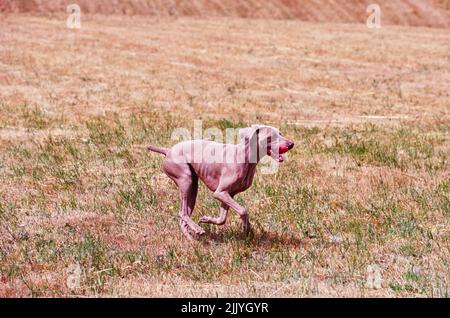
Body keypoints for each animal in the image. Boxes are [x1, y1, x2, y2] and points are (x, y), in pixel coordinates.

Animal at [149, 125, 296, 240]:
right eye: (272, 136)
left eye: (280, 133)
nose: (291, 144)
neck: (244, 157)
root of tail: (168, 151)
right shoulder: (220, 193)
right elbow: (243, 210)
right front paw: (246, 227)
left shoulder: (228, 194)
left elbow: (222, 219)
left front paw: (207, 219)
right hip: (186, 178)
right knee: (182, 213)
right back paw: (198, 229)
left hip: (193, 188)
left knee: (183, 217)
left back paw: (192, 239)